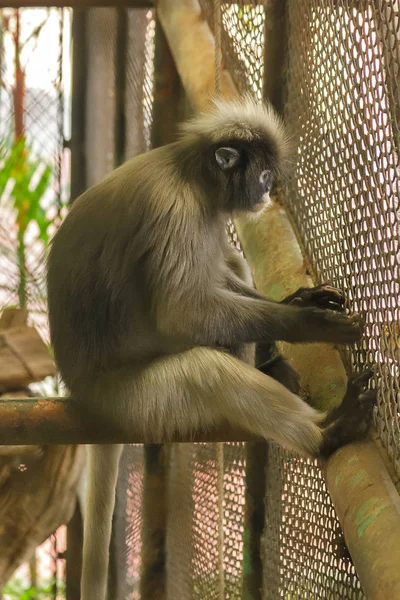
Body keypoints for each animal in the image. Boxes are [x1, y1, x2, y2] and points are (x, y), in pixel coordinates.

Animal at [47, 96, 376, 596]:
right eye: (264, 175)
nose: (266, 192)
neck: (190, 174)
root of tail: (82, 391)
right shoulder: (175, 210)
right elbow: (180, 312)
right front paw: (308, 322)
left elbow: (217, 279)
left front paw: (303, 301)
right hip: (135, 402)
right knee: (206, 369)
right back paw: (330, 429)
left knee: (229, 265)